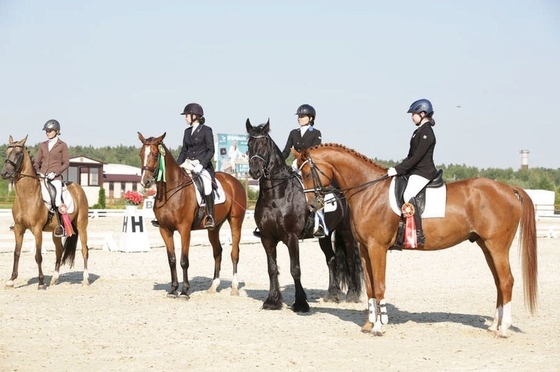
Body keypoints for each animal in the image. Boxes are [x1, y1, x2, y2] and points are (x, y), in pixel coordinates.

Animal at [0, 135, 89, 290]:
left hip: (82, 226)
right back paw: (54, 279)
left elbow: (38, 256)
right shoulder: (18, 228)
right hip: (57, 231)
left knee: (84, 250)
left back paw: (85, 279)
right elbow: (16, 253)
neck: (27, 195)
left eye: (18, 153)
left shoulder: (37, 230)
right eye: (7, 152)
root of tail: (79, 188)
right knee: (59, 251)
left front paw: (41, 283)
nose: (4, 173)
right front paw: (11, 280)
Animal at [137, 132, 246, 298]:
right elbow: (172, 259)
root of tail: (234, 181)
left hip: (235, 221)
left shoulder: (184, 229)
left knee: (234, 253)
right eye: (141, 154)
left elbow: (184, 260)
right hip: (214, 227)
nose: (146, 182)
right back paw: (213, 286)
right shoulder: (164, 230)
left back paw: (234, 287)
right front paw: (173, 289)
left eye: (156, 155)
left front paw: (184, 291)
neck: (172, 191)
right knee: (217, 252)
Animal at [246, 119, 364, 310]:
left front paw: (301, 303)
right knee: (331, 259)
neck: (276, 195)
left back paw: (352, 294)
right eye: (249, 144)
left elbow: (295, 269)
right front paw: (272, 301)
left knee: (351, 260)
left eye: (264, 144)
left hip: (346, 231)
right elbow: (272, 268)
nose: (255, 171)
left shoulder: (292, 237)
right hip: (325, 235)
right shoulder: (267, 238)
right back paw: (332, 294)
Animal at [298, 142, 540, 338]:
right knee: (499, 282)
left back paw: (503, 329)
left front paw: (379, 327)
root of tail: (508, 188)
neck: (369, 190)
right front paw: (368, 324)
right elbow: (370, 287)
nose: (311, 206)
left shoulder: (377, 248)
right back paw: (493, 326)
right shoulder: (366, 249)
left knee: (506, 281)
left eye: (308, 173)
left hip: (497, 246)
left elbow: (379, 285)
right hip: (486, 246)